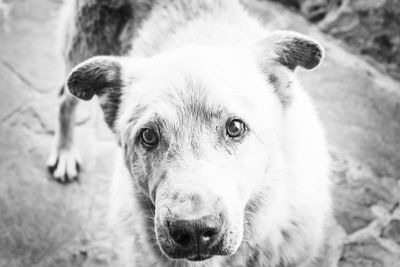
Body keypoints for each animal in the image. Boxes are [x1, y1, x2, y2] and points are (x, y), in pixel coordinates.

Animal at [47, 1, 332, 266]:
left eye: (235, 127)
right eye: (148, 136)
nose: (194, 231)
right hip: (82, 49)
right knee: (63, 100)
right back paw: (65, 152)